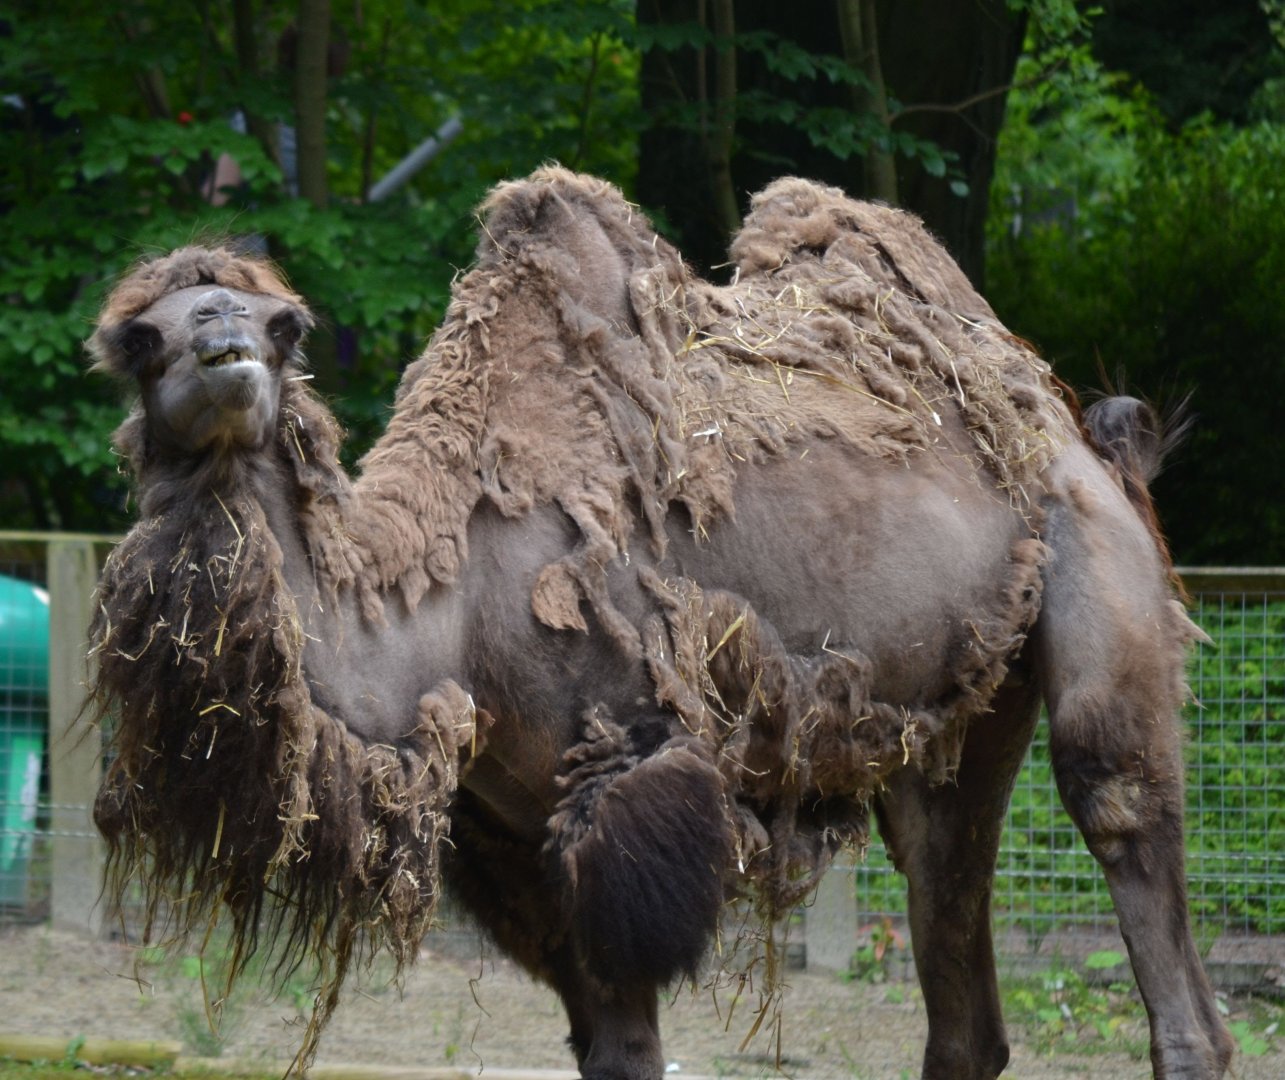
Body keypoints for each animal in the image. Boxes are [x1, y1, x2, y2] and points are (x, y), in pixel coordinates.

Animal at [85, 168, 1233, 1080]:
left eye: (278, 328)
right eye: (142, 339)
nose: (226, 346)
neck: (443, 611)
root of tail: (1082, 431)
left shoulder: (626, 780)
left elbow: (634, 1035)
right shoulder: (514, 843)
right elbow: (609, 1052)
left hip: (1098, 569)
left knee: (1120, 804)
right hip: (960, 710)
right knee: (952, 930)